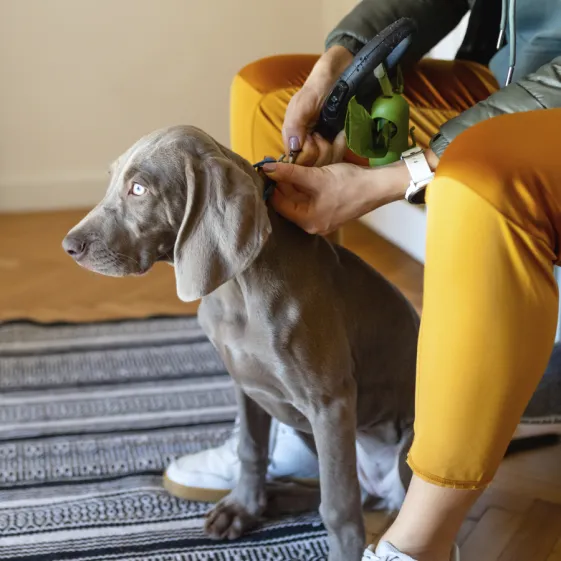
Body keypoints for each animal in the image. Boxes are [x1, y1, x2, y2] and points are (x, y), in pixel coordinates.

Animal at [63, 126, 418, 560]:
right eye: (113, 179)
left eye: (139, 189)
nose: (69, 246)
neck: (237, 292)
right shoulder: (246, 383)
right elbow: (251, 449)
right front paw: (244, 508)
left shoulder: (330, 404)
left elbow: (338, 506)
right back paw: (278, 496)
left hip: (404, 442)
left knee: (374, 500)